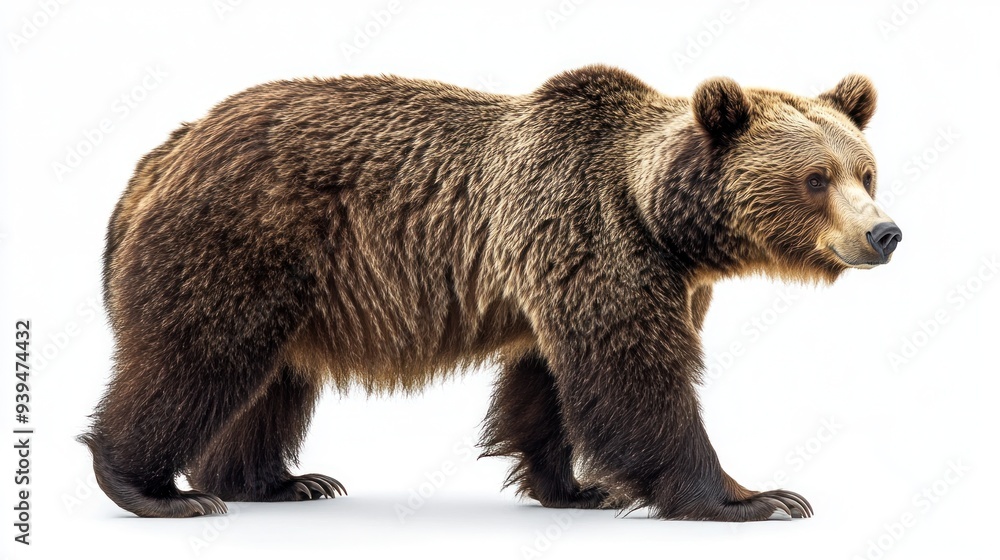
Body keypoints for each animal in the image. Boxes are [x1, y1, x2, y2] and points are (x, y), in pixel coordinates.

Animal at [81, 65, 901, 520]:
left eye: (865, 170)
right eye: (815, 177)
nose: (885, 233)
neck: (665, 224)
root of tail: (163, 154)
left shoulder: (575, 275)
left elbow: (547, 386)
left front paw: (578, 487)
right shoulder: (595, 236)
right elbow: (634, 378)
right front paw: (755, 497)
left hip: (293, 282)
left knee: (273, 380)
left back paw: (284, 482)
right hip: (243, 237)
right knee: (196, 357)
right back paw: (154, 488)